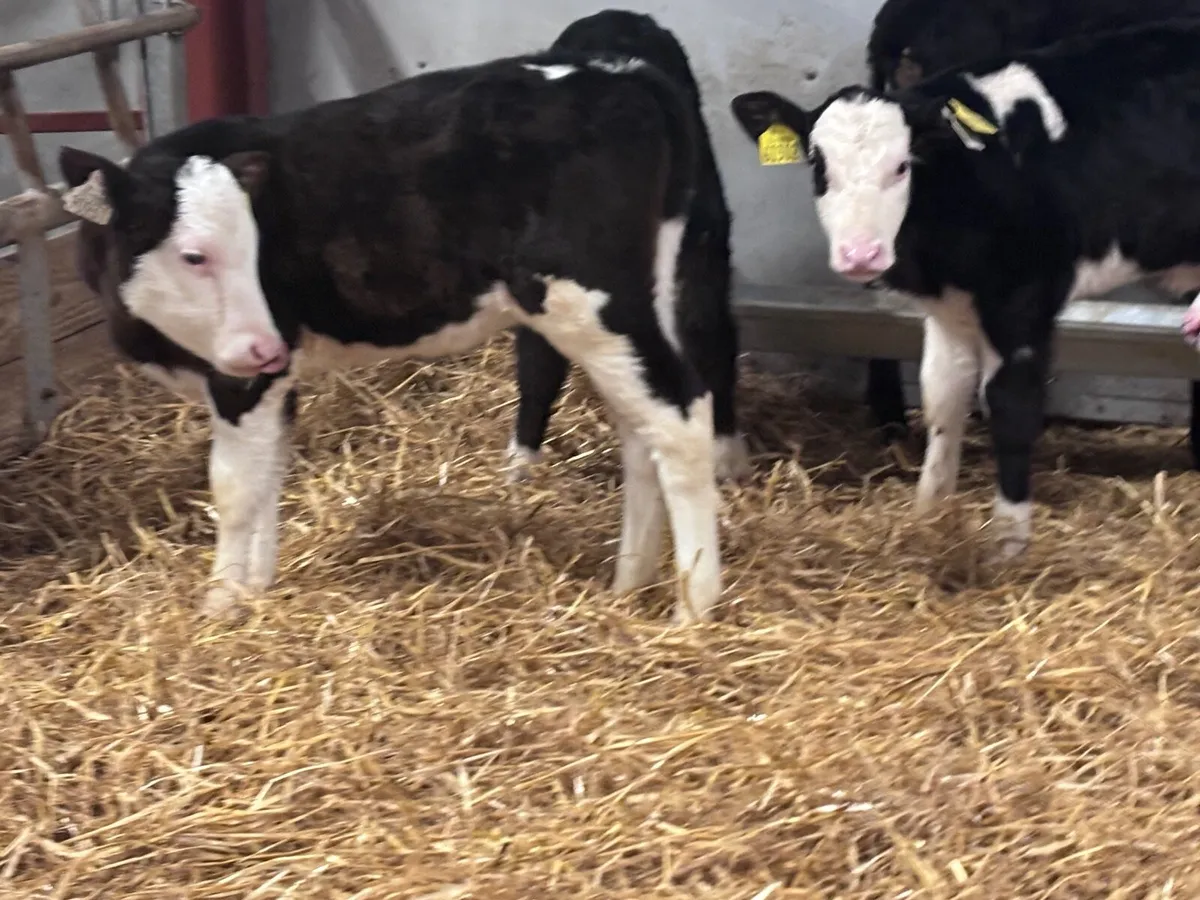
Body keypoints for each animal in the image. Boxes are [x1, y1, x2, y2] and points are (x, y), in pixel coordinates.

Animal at [58, 48, 725, 625]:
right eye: (195, 255)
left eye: (254, 249)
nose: (264, 344)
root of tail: (618, 73)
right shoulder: (274, 377)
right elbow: (268, 474)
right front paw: (256, 591)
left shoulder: (244, 380)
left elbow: (235, 488)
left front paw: (221, 605)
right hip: (635, 303)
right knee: (641, 433)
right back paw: (627, 585)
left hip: (590, 300)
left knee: (681, 419)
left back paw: (692, 610)